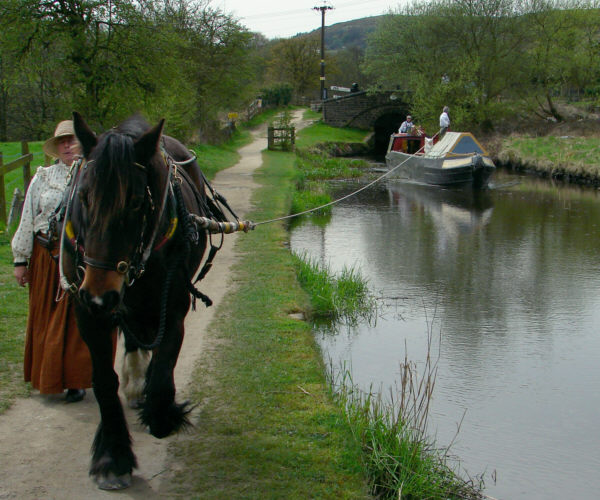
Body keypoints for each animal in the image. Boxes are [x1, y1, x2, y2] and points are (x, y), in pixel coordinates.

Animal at [61, 112, 226, 488]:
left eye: (136, 201)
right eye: (85, 196)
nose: (101, 294)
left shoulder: (173, 306)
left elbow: (164, 363)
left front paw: (162, 412)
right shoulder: (86, 311)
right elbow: (103, 381)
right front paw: (113, 456)